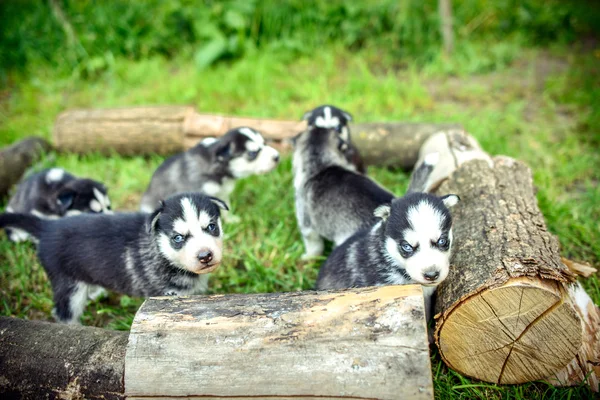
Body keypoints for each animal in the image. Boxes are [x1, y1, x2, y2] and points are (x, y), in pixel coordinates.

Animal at [0, 192, 227, 324]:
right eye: (178, 238)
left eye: (211, 227)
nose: (205, 256)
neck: (162, 253)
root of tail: (48, 226)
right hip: (69, 286)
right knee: (64, 313)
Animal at [141, 126, 282, 220]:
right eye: (253, 153)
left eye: (264, 143)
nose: (277, 157)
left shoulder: (223, 194)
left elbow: (225, 209)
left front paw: (230, 220)